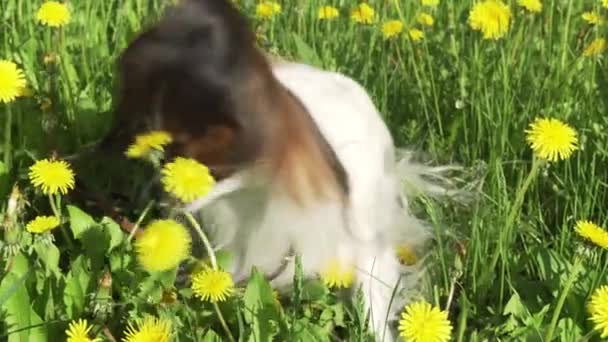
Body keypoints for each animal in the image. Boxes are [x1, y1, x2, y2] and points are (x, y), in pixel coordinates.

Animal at [103, 0, 456, 340]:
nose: (160, 193)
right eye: (155, 147)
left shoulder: (366, 248)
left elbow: (374, 306)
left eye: (200, 162)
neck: (261, 193)